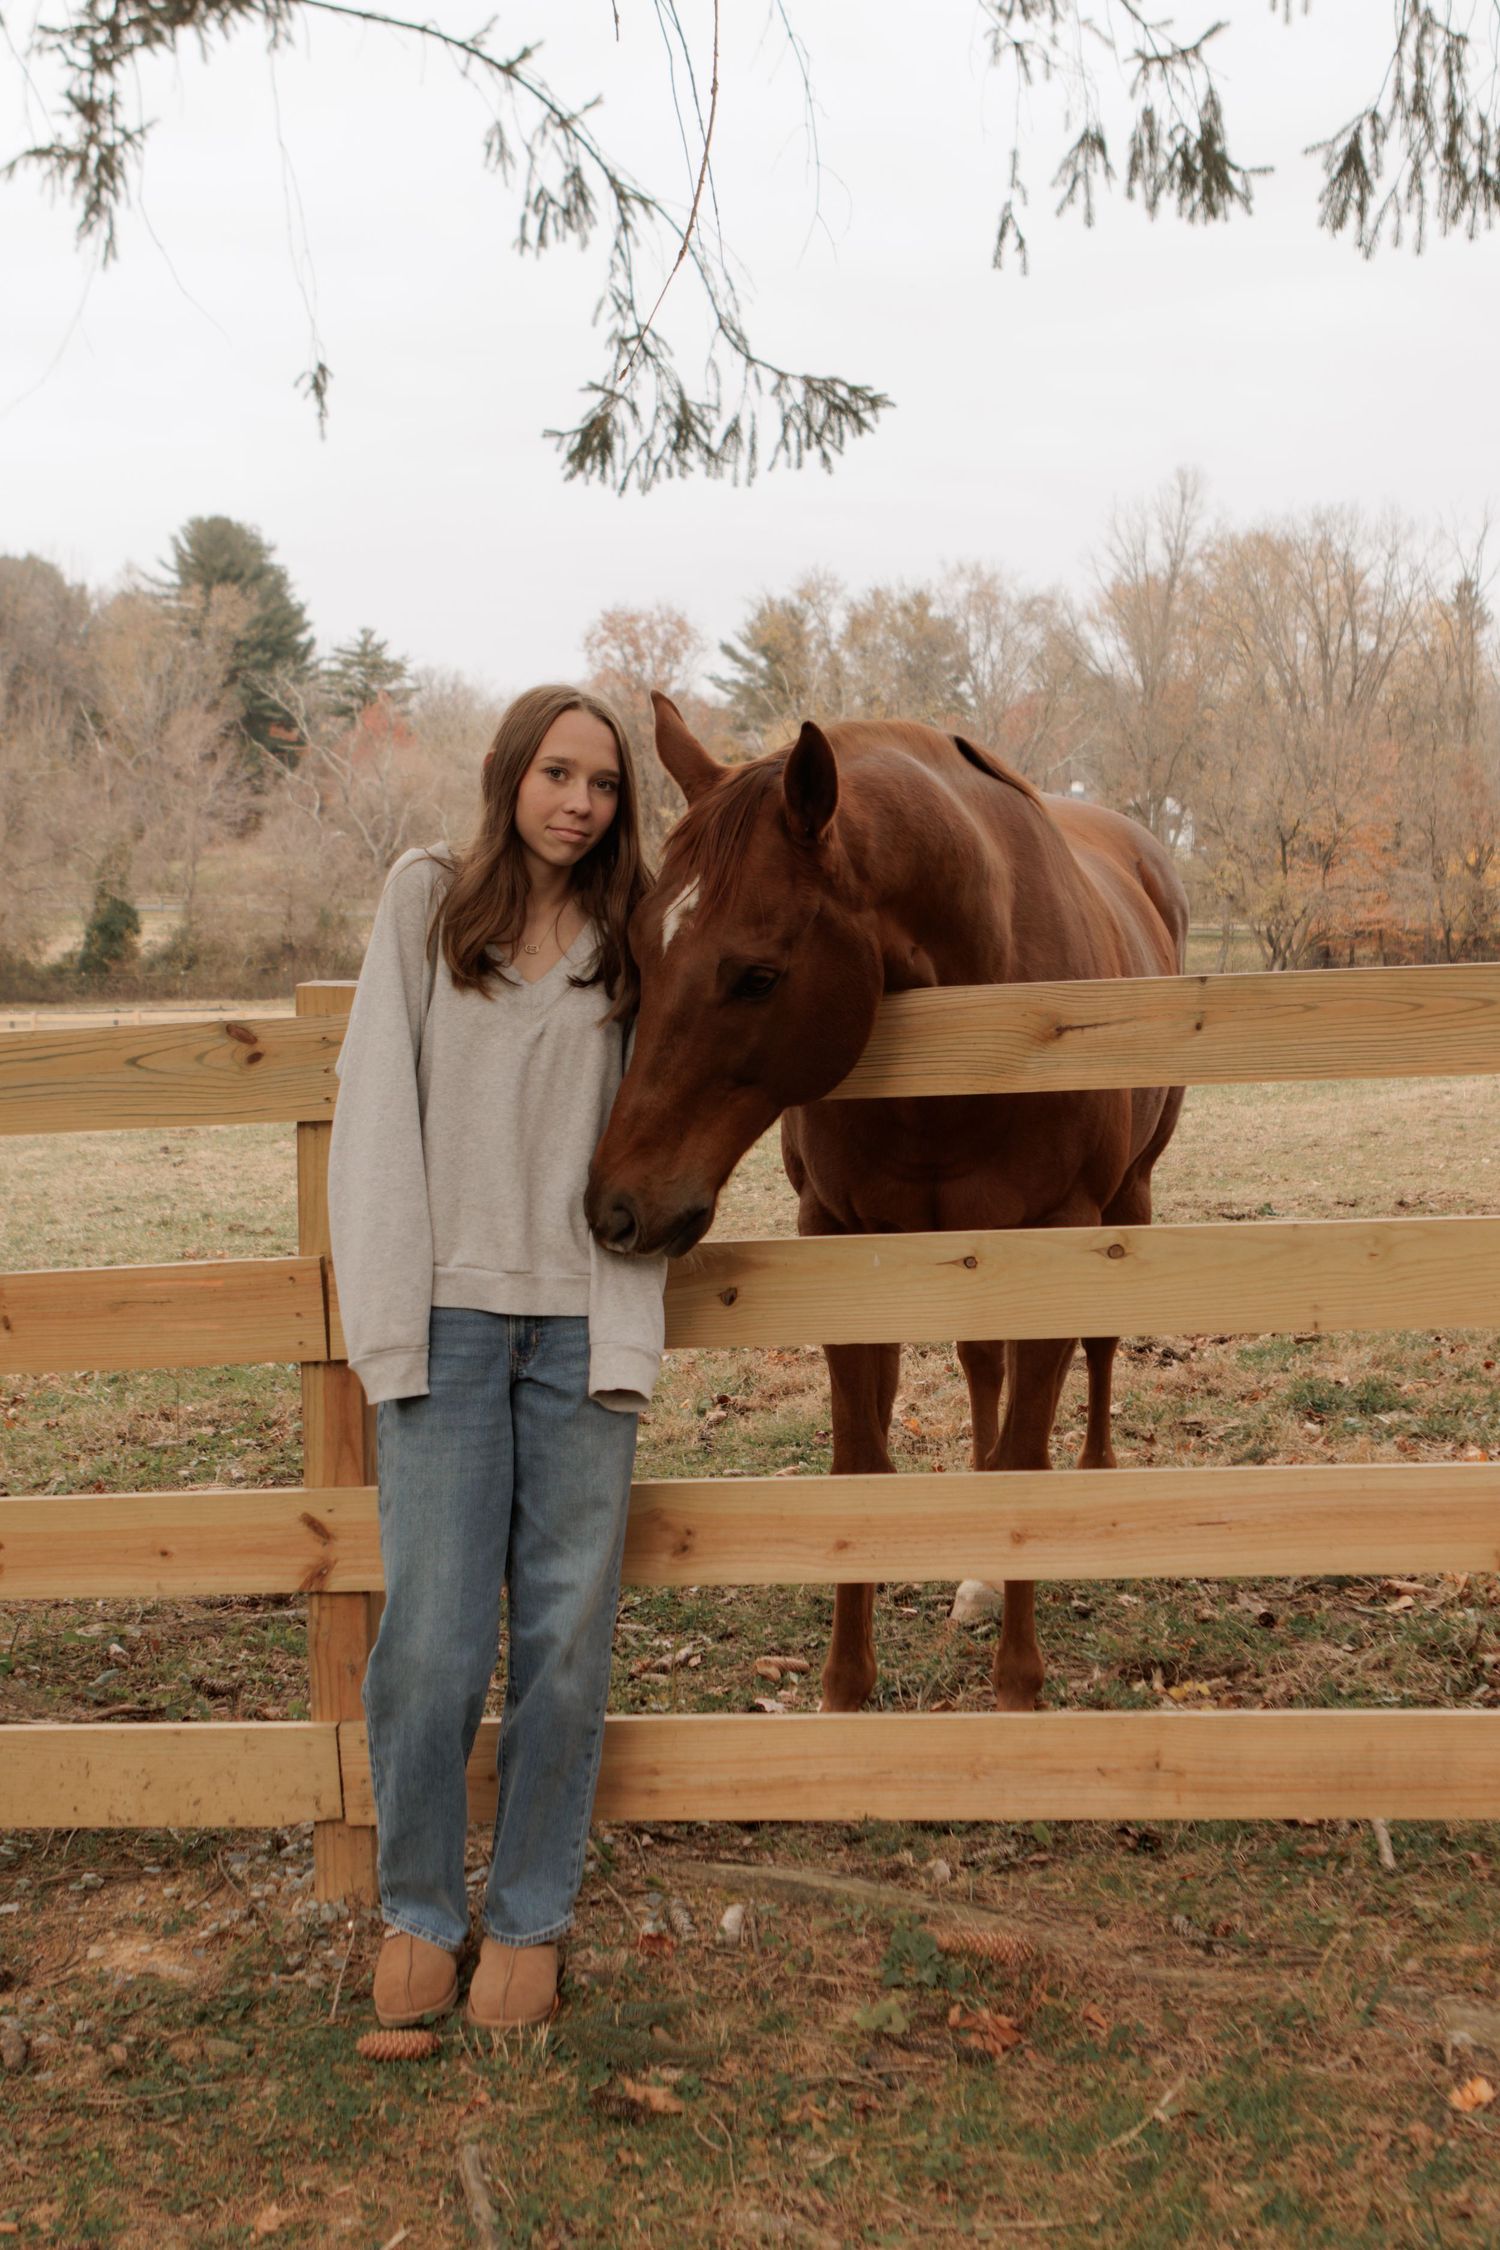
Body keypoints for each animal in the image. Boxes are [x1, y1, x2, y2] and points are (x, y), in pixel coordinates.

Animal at [587, 693, 1189, 1713]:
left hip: (1125, 1201)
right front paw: (843, 1686)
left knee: (1096, 1352)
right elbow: (860, 1460)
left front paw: (1018, 1687)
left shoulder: (1059, 1232)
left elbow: (1027, 1457)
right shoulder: (840, 1237)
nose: (616, 1208)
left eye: (758, 976)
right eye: (636, 954)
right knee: (983, 1365)